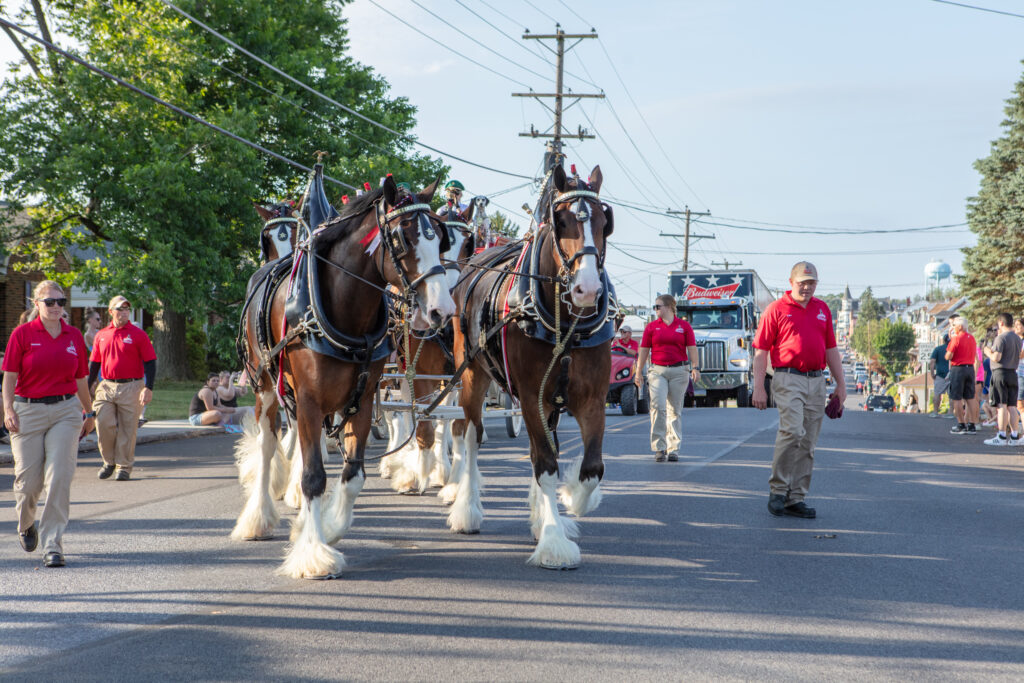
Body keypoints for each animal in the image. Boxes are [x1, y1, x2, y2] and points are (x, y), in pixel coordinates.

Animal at [235, 175, 456, 577]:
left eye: (440, 239)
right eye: (403, 238)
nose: (442, 311)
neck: (344, 313)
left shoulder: (363, 400)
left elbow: (352, 477)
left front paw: (329, 527)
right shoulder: (308, 400)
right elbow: (312, 476)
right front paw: (313, 555)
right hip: (266, 387)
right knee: (267, 445)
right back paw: (257, 517)